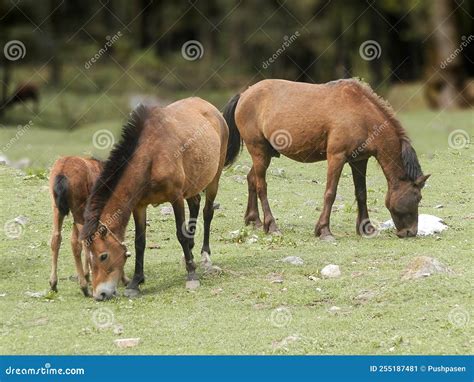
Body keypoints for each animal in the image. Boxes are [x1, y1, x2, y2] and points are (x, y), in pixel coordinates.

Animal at [48, 155, 103, 296]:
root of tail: (62, 174)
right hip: (79, 210)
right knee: (82, 242)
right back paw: (85, 286)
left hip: (57, 208)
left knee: (56, 238)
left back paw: (53, 283)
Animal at [80, 98, 241, 302]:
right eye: (89, 259)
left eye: (103, 256)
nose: (100, 294)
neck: (151, 156)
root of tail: (210, 107)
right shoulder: (139, 206)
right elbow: (140, 242)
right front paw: (136, 282)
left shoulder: (176, 198)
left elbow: (180, 234)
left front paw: (191, 275)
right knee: (195, 203)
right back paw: (190, 249)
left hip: (214, 178)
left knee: (207, 212)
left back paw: (204, 255)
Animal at [222, 78, 430, 240]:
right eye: (418, 197)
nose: (411, 232)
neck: (361, 114)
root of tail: (244, 94)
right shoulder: (336, 157)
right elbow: (330, 193)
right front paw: (323, 230)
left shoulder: (359, 161)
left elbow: (361, 193)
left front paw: (366, 228)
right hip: (259, 151)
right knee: (261, 186)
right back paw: (271, 225)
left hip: (265, 154)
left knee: (251, 179)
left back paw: (254, 220)